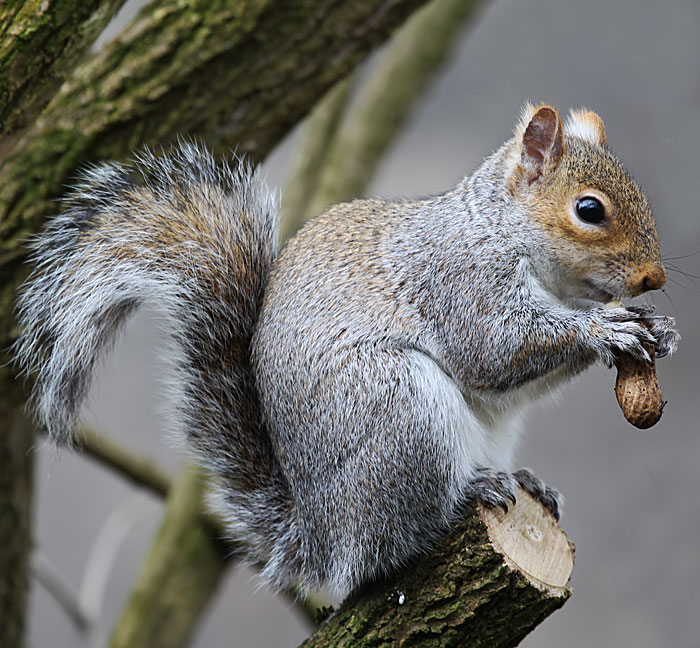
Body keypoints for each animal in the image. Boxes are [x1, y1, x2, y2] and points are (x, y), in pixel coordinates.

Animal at [15, 103, 680, 599]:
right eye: (588, 210)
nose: (653, 279)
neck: (503, 231)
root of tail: (325, 538)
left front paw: (658, 328)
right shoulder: (458, 280)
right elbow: (494, 350)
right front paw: (606, 329)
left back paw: (521, 480)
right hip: (399, 409)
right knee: (398, 540)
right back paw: (466, 493)